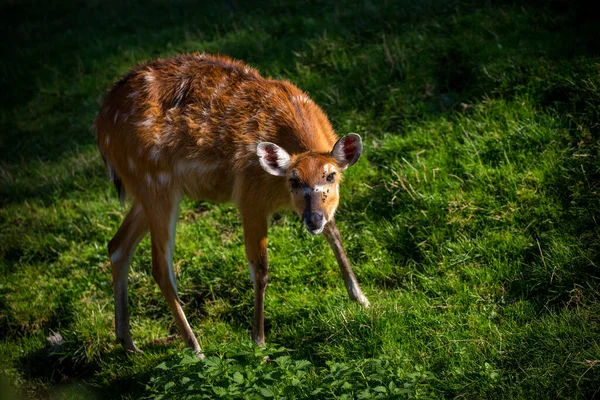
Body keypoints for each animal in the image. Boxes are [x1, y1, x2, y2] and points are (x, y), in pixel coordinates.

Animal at [95, 54, 370, 356]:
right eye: (293, 180)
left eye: (330, 175)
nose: (312, 221)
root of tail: (101, 125)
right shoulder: (250, 198)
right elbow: (260, 269)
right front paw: (258, 341)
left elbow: (335, 233)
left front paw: (361, 299)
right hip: (155, 181)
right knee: (160, 268)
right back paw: (195, 348)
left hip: (149, 189)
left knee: (117, 245)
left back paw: (128, 342)